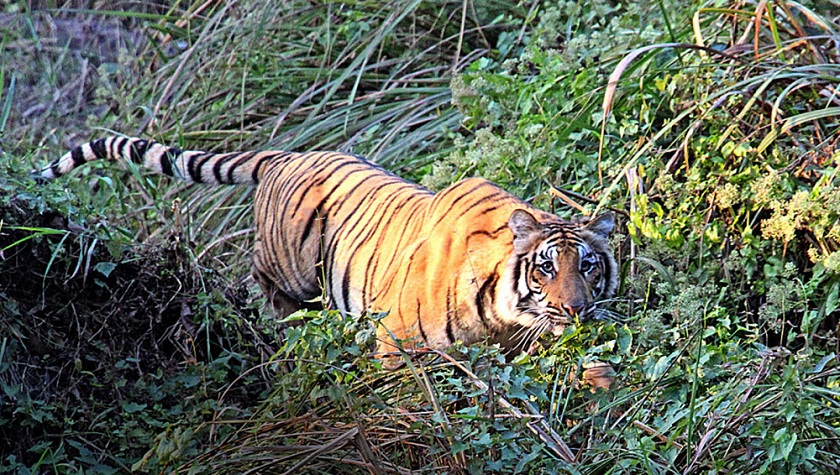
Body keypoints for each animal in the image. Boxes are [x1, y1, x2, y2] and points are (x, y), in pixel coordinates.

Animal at [37, 137, 616, 360]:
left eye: (588, 266)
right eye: (545, 268)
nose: (576, 310)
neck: (503, 316)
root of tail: (286, 155)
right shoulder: (399, 343)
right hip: (288, 269)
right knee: (265, 286)